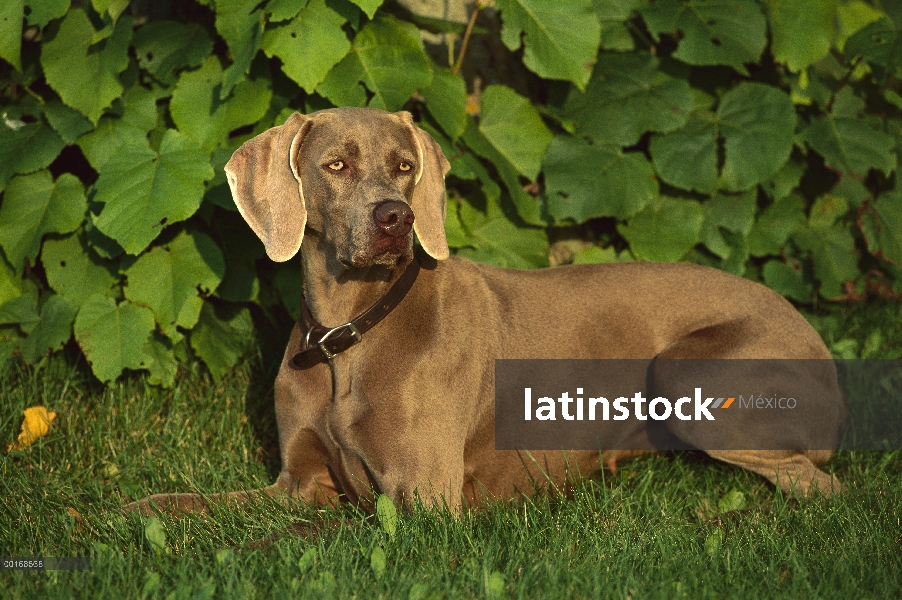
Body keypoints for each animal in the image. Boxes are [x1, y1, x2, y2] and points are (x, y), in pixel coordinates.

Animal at [123, 108, 852, 516]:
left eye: (405, 165)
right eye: (334, 165)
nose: (396, 217)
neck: (349, 335)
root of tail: (813, 334)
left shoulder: (423, 502)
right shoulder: (293, 484)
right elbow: (193, 506)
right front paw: (118, 515)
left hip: (684, 373)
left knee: (819, 487)